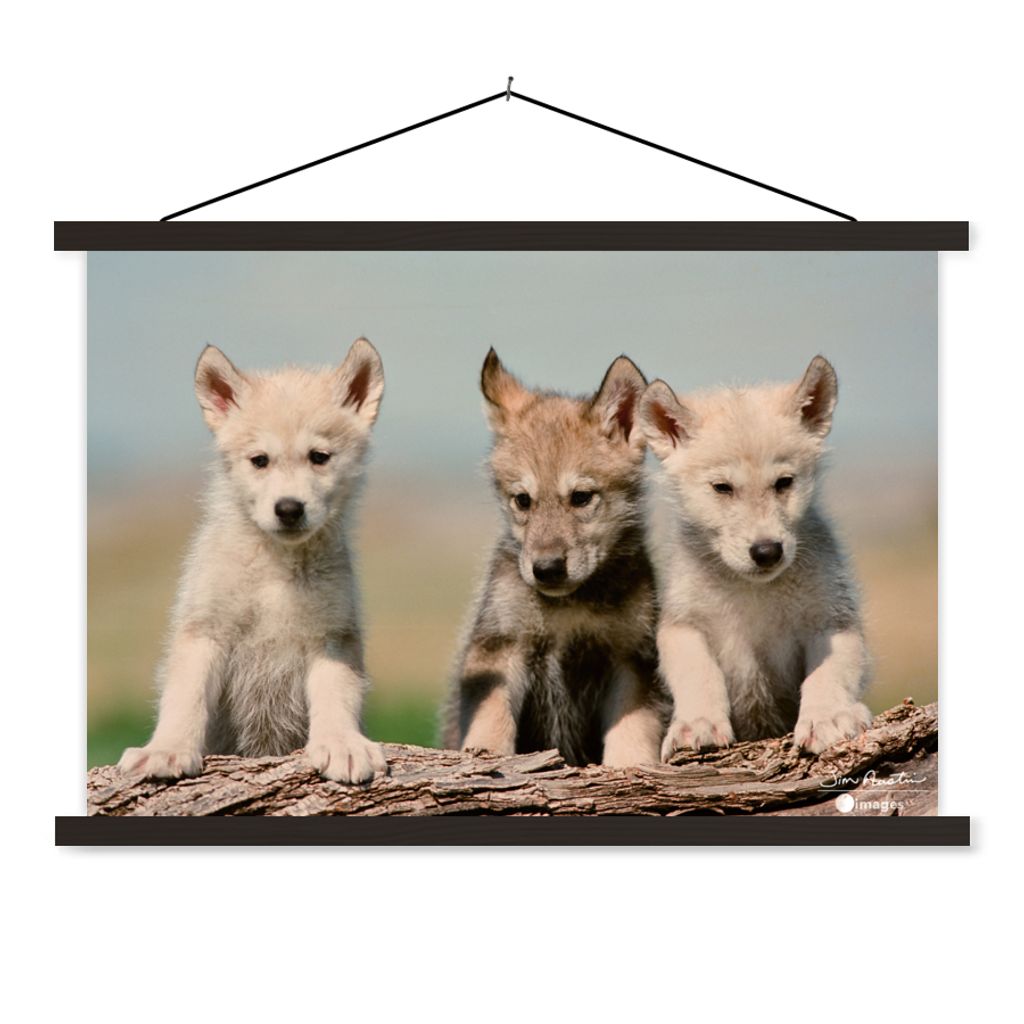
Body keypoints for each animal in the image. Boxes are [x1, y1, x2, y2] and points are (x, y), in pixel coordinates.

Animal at [118, 338, 388, 783]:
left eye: (319, 456)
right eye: (260, 460)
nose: (289, 509)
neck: (276, 565)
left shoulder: (333, 636)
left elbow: (336, 695)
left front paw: (341, 744)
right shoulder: (204, 630)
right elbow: (186, 697)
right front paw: (167, 749)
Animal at [441, 349, 667, 767]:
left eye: (581, 497)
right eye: (522, 500)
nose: (546, 570)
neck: (569, 607)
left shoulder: (632, 658)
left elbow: (633, 728)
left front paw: (632, 765)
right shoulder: (500, 646)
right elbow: (490, 718)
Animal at [638, 355, 872, 756]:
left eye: (784, 483)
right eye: (722, 488)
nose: (767, 552)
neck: (753, 592)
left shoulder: (832, 620)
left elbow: (827, 673)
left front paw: (827, 717)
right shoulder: (682, 624)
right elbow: (698, 673)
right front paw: (697, 723)